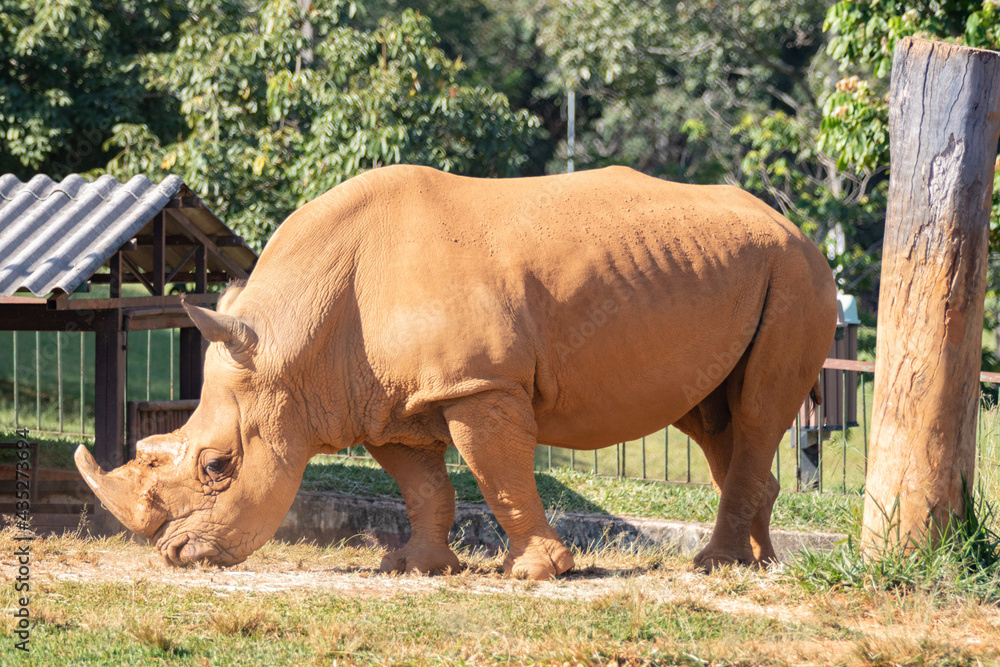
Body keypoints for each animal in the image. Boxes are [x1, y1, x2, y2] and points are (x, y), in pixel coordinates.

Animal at [75, 165, 836, 579]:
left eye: (217, 466)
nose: (173, 555)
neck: (296, 344)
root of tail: (796, 227)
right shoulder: (383, 400)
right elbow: (421, 485)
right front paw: (414, 566)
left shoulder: (479, 385)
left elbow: (499, 475)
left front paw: (531, 574)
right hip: (740, 268)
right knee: (716, 420)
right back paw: (758, 562)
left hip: (797, 275)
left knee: (758, 410)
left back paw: (714, 565)